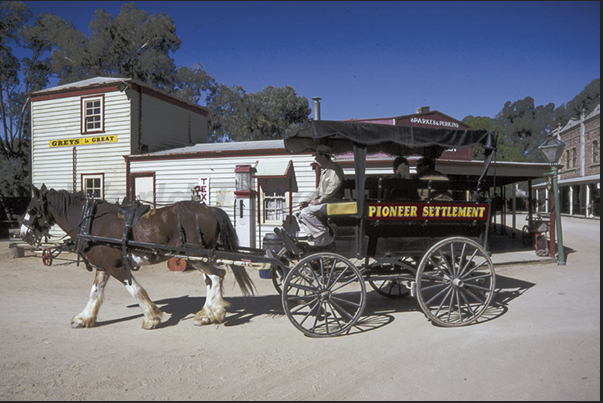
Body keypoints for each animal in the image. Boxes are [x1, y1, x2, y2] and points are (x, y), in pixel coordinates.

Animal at [21, 185, 255, 330]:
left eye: (32, 210)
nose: (23, 234)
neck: (92, 222)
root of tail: (211, 210)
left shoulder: (116, 267)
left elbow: (135, 290)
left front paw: (151, 318)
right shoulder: (103, 267)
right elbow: (95, 293)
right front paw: (84, 318)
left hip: (196, 257)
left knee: (217, 275)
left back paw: (212, 312)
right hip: (200, 258)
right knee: (211, 279)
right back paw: (209, 313)